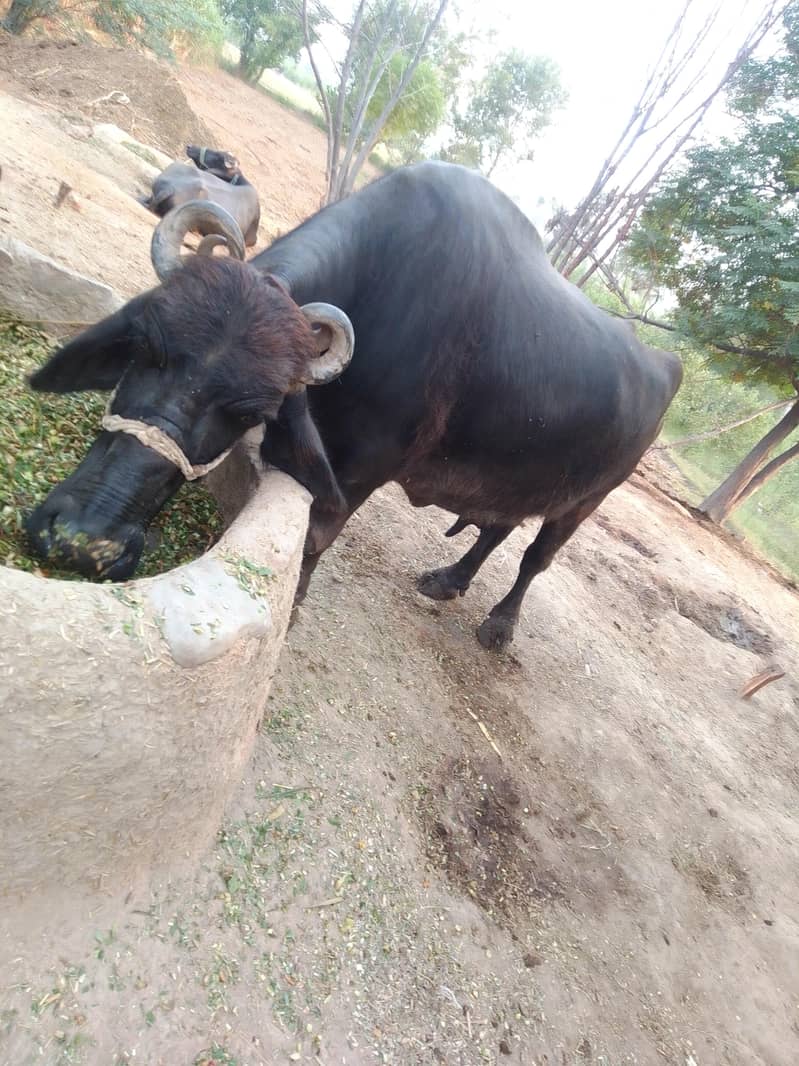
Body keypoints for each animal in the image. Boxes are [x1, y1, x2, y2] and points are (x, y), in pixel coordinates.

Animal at [26, 162, 682, 651]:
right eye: (146, 349)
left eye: (247, 410)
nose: (82, 540)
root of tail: (664, 367)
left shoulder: (364, 468)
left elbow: (317, 536)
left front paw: (293, 605)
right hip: (518, 479)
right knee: (495, 531)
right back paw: (448, 580)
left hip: (582, 503)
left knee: (533, 560)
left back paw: (498, 626)